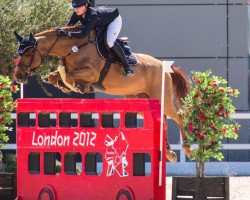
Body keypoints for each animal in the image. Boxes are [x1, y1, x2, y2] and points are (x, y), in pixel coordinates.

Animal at [13, 26, 193, 162]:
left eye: (28, 53)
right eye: (19, 53)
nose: (18, 76)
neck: (73, 48)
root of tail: (165, 67)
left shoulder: (92, 73)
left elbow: (69, 76)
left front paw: (79, 87)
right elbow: (56, 75)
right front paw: (65, 85)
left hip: (163, 100)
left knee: (179, 117)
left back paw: (187, 148)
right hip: (140, 99)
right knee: (162, 121)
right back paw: (169, 152)